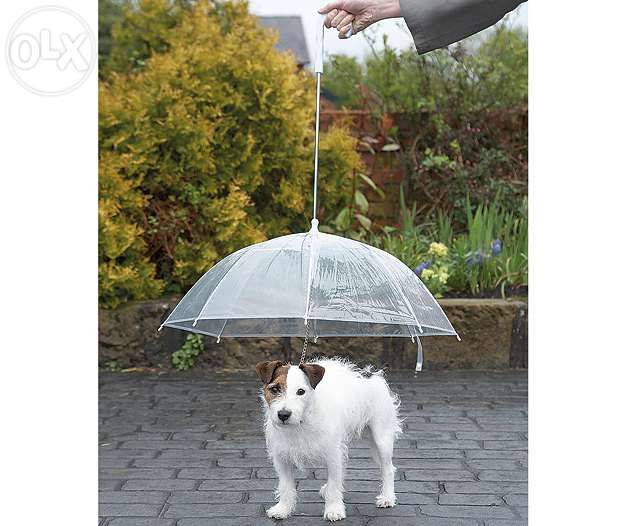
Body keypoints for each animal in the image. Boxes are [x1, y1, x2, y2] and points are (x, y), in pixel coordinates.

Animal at [254, 358, 400, 524]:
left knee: (388, 469)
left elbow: (334, 484)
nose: (283, 415)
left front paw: (334, 510)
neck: (302, 421)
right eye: (275, 389)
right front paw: (283, 509)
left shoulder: (333, 455)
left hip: (382, 440)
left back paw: (387, 498)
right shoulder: (281, 458)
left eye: (301, 391)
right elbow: (285, 486)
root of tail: (372, 376)